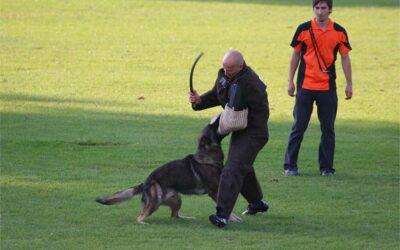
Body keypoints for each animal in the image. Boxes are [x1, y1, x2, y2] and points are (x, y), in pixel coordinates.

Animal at [95, 117, 242, 225]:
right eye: (212, 127)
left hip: (177, 199)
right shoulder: (214, 191)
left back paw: (188, 218)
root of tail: (144, 183)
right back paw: (143, 222)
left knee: (175, 215)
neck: (207, 156)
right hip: (155, 202)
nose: (220, 116)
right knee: (140, 217)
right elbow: (225, 207)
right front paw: (231, 219)